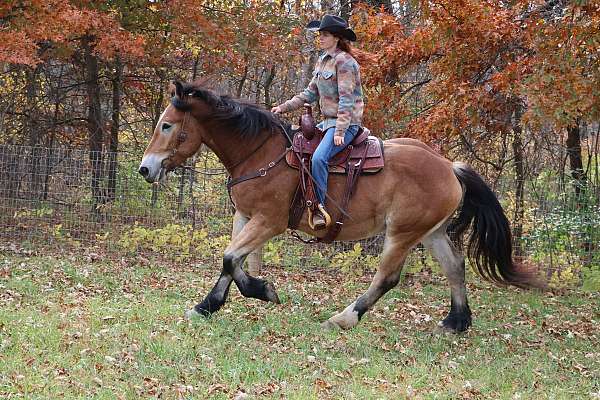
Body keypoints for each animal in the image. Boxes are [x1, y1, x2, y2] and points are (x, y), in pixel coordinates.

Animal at [138, 80, 540, 332]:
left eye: (168, 125)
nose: (145, 168)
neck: (259, 153)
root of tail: (449, 167)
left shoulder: (269, 221)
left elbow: (230, 258)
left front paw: (260, 291)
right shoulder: (245, 217)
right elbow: (231, 262)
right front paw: (210, 304)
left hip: (402, 232)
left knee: (387, 278)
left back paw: (344, 318)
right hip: (432, 232)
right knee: (455, 268)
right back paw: (456, 322)